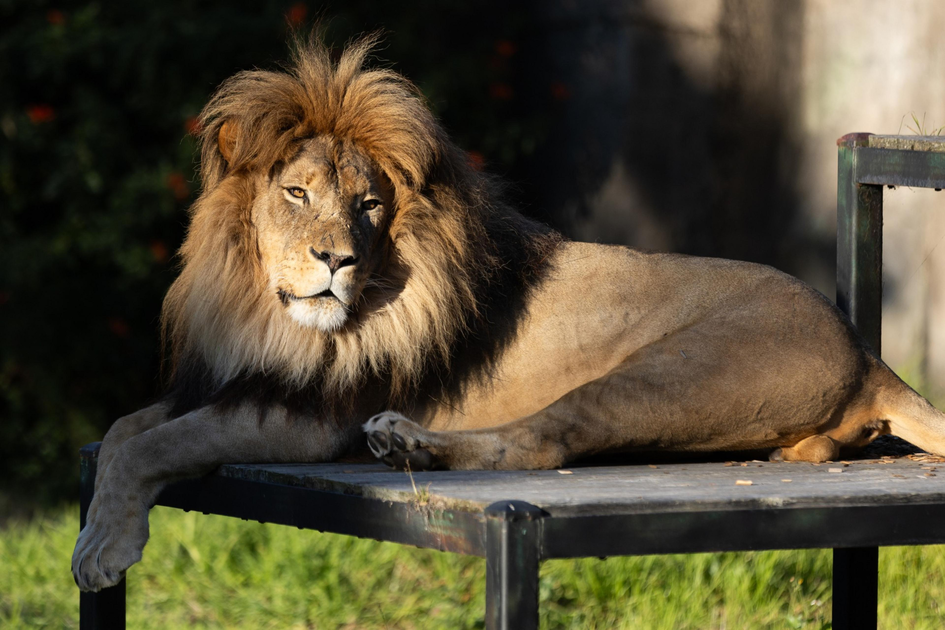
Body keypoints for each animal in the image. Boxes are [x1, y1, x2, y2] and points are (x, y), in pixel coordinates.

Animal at [73, 37, 945, 592]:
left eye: (368, 206)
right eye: (295, 193)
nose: (336, 260)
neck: (263, 310)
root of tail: (868, 354)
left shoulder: (307, 417)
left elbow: (151, 446)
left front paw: (100, 550)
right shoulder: (232, 382)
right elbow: (121, 430)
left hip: (663, 376)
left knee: (538, 442)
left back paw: (405, 443)